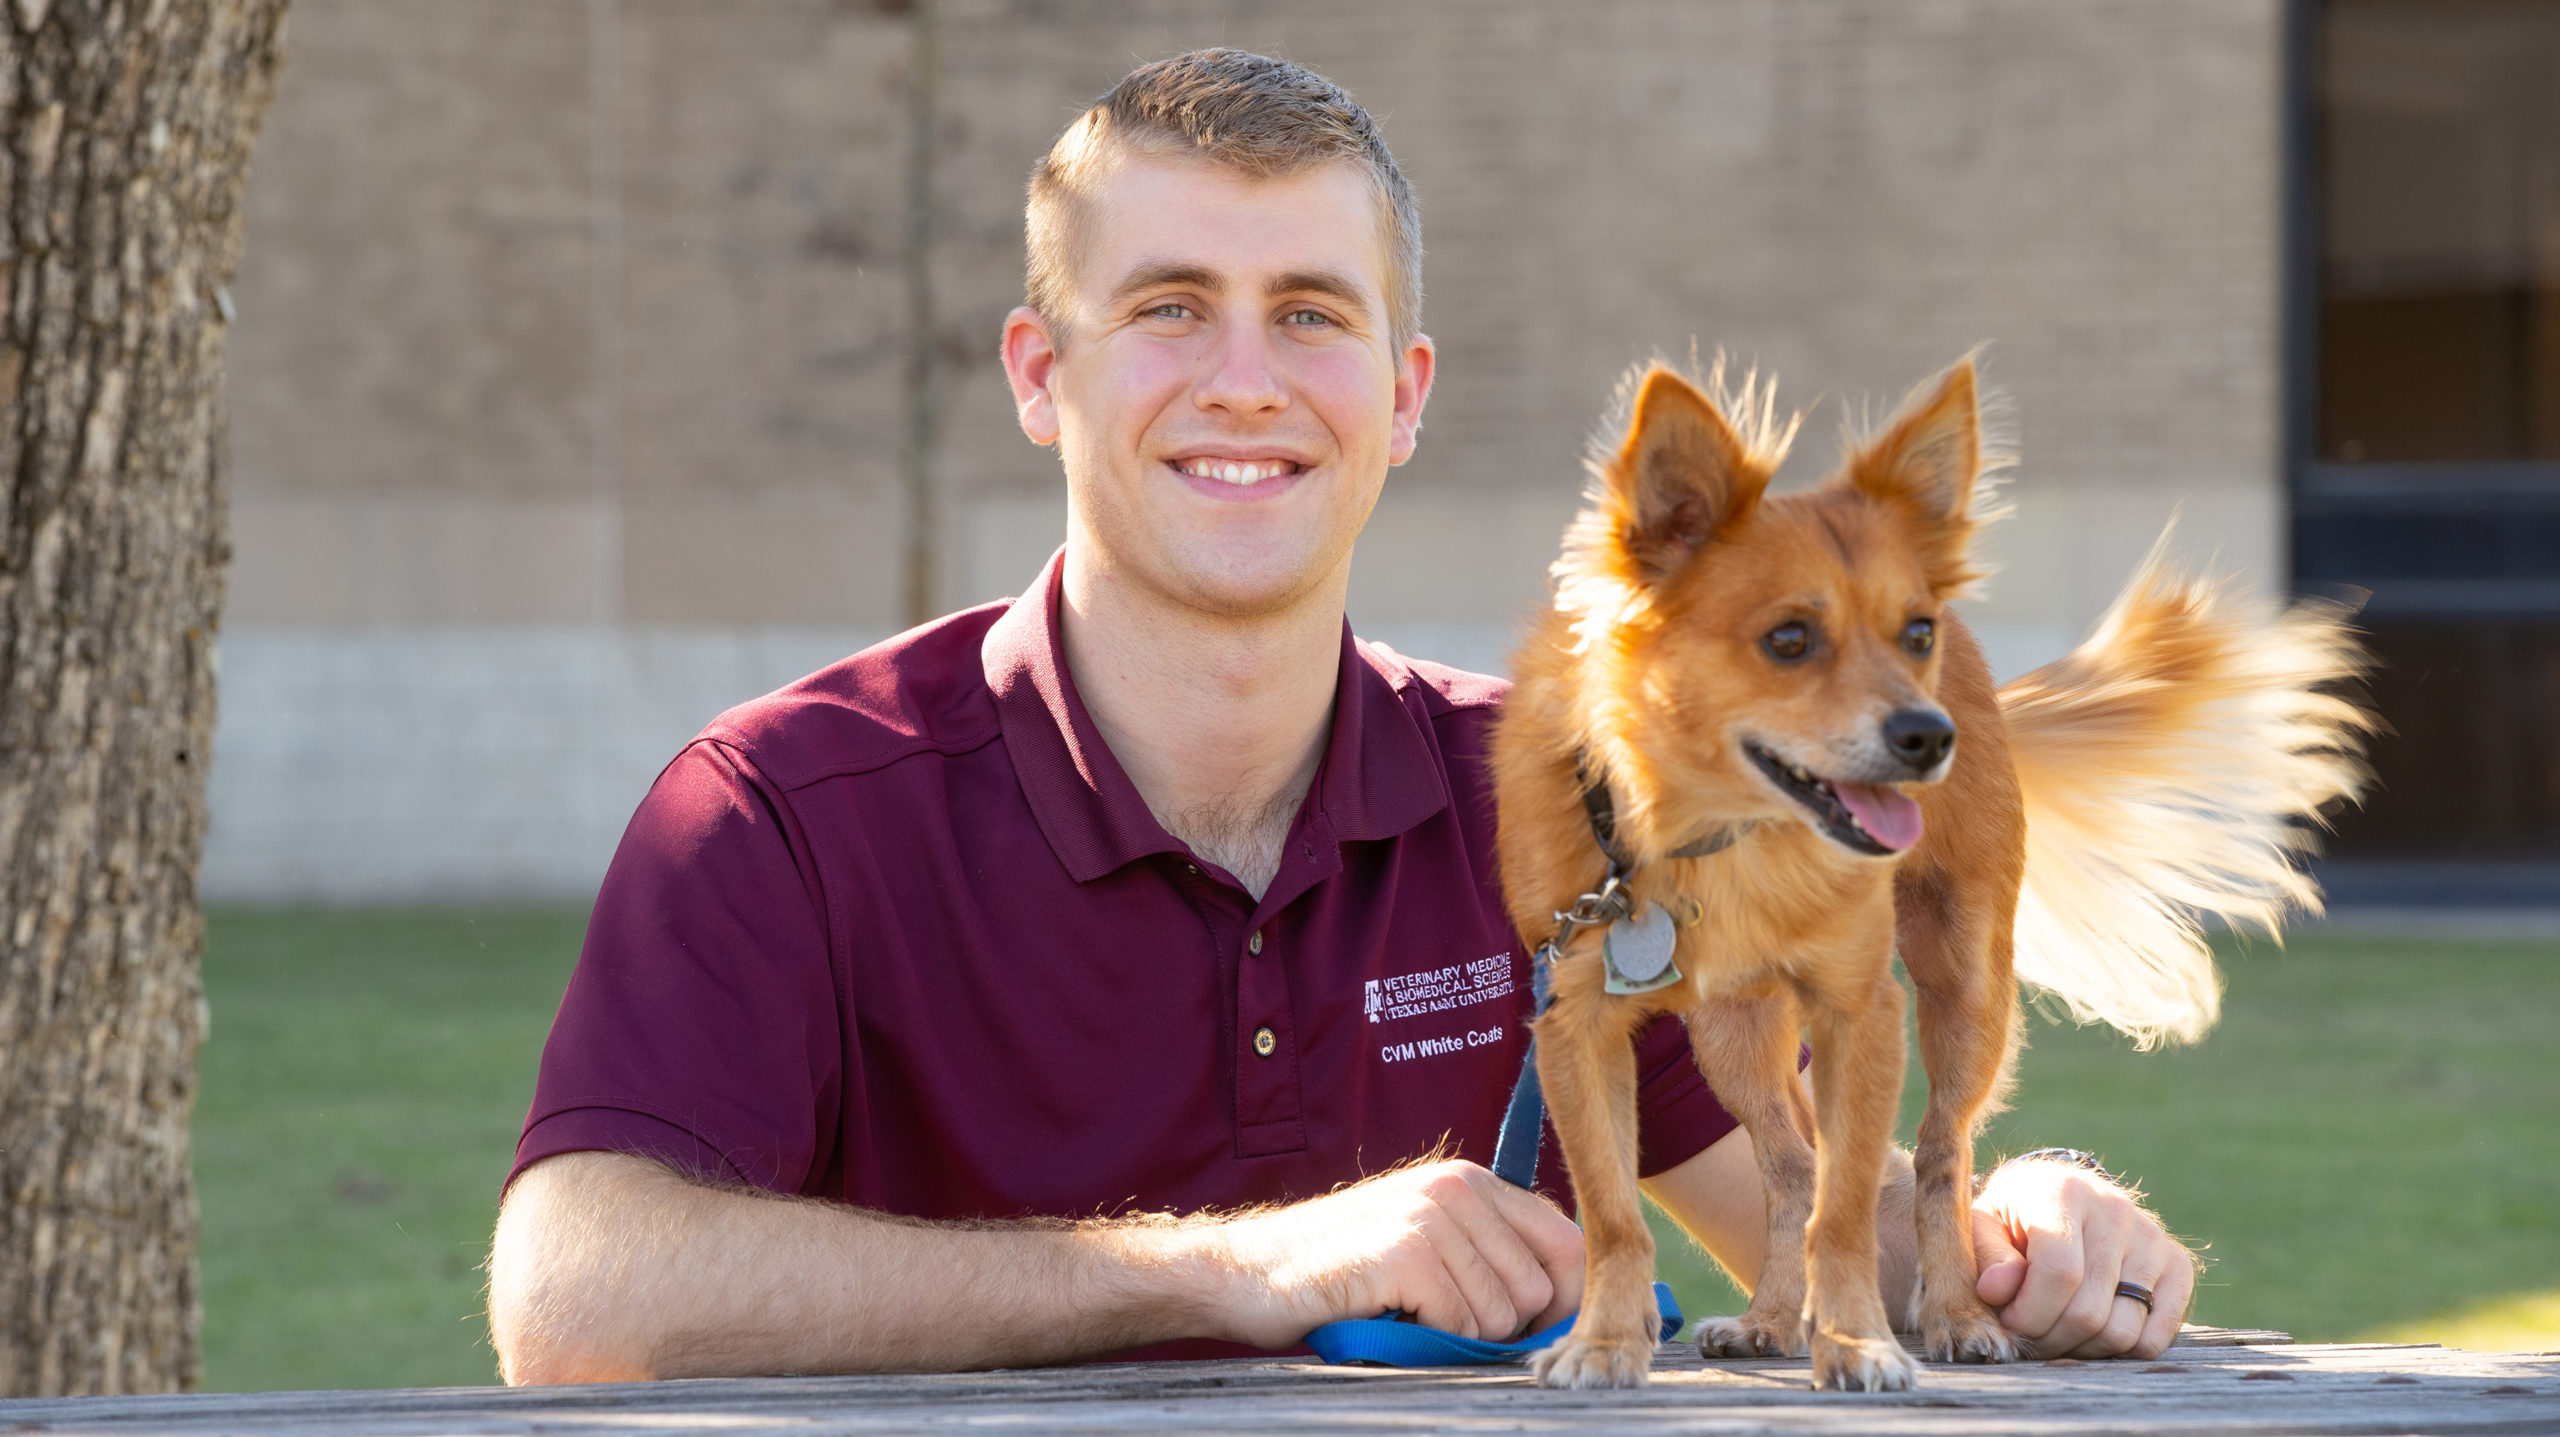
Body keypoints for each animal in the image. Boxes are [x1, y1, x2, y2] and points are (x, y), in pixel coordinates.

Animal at [1495, 358, 2365, 1393]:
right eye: (1788, 640)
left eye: (1913, 633)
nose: (1928, 734)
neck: (1721, 835)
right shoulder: (1575, 1020)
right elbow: (1615, 1212)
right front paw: (1604, 1341)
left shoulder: (1862, 1011)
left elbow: (1849, 1207)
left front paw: (1856, 1340)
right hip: (1732, 1035)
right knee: (1789, 1164)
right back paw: (1773, 1316)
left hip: (1963, 986)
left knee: (1942, 1152)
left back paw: (1954, 1313)